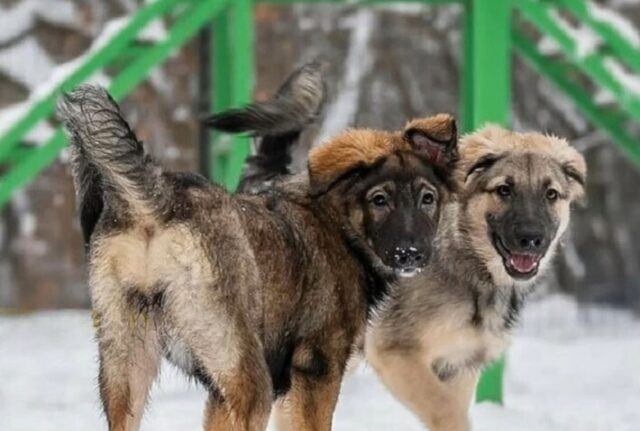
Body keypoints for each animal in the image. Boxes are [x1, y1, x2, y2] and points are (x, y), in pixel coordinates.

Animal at [56, 80, 456, 428]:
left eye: (428, 198)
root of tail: (157, 198)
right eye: (379, 200)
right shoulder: (317, 369)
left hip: (126, 371)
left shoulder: (221, 395)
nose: (411, 254)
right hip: (248, 378)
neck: (336, 220)